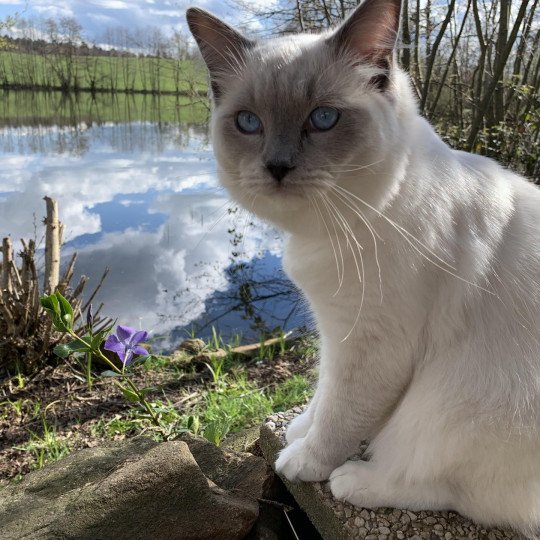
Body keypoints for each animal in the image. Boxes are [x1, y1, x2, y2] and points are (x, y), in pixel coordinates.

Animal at [187, 1, 540, 536]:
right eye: (248, 123)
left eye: (324, 118)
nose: (277, 167)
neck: (329, 232)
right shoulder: (334, 332)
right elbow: (322, 393)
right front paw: (298, 428)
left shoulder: (371, 345)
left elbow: (339, 416)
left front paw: (301, 461)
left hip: (458, 408)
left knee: (453, 491)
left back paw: (354, 481)